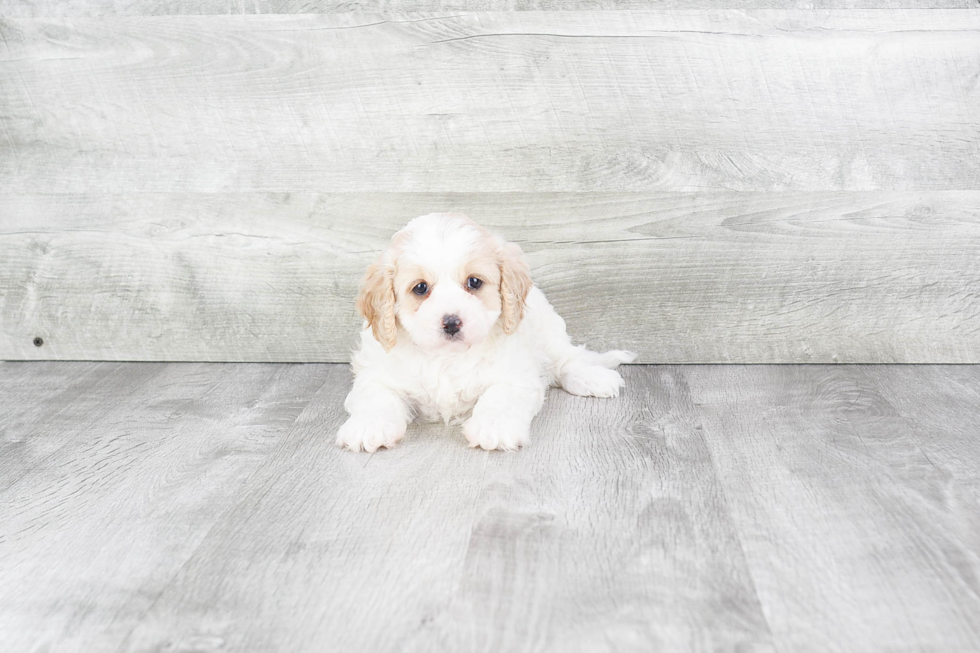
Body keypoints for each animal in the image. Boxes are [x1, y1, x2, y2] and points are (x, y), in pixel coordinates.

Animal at [336, 211, 640, 450]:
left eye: (474, 282)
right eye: (420, 288)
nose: (452, 322)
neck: (447, 357)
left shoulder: (514, 375)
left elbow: (499, 398)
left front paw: (494, 427)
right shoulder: (377, 375)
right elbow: (377, 398)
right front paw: (367, 428)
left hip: (548, 329)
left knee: (566, 359)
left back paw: (594, 378)